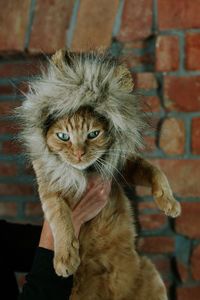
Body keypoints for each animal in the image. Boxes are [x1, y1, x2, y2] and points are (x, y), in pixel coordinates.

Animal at [19, 50, 181, 298]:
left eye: (93, 134)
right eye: (63, 137)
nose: (78, 154)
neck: (84, 173)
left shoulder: (120, 164)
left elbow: (154, 170)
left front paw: (169, 202)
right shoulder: (50, 185)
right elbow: (60, 217)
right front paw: (65, 257)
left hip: (151, 272)